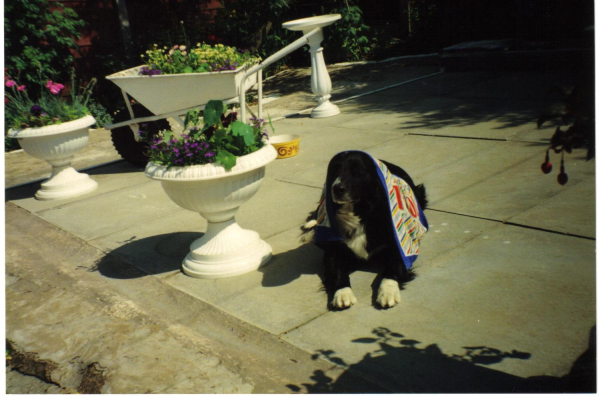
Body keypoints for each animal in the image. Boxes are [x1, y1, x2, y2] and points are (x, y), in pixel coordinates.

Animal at [300, 151, 426, 310]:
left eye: (358, 171)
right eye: (335, 170)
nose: (337, 188)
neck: (360, 211)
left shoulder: (399, 245)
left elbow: (392, 267)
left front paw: (388, 292)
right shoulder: (333, 249)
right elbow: (337, 270)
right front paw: (343, 293)